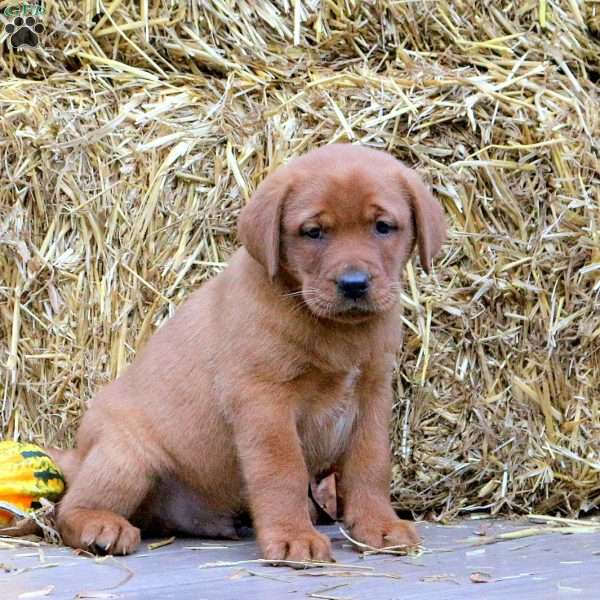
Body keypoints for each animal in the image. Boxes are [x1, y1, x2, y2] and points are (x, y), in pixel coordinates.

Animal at [52, 143, 446, 560]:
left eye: (383, 226)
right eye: (313, 232)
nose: (353, 284)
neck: (336, 330)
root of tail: (77, 456)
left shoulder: (371, 395)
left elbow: (370, 466)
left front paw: (379, 526)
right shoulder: (263, 400)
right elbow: (282, 471)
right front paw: (293, 537)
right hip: (125, 455)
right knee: (69, 508)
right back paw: (101, 526)